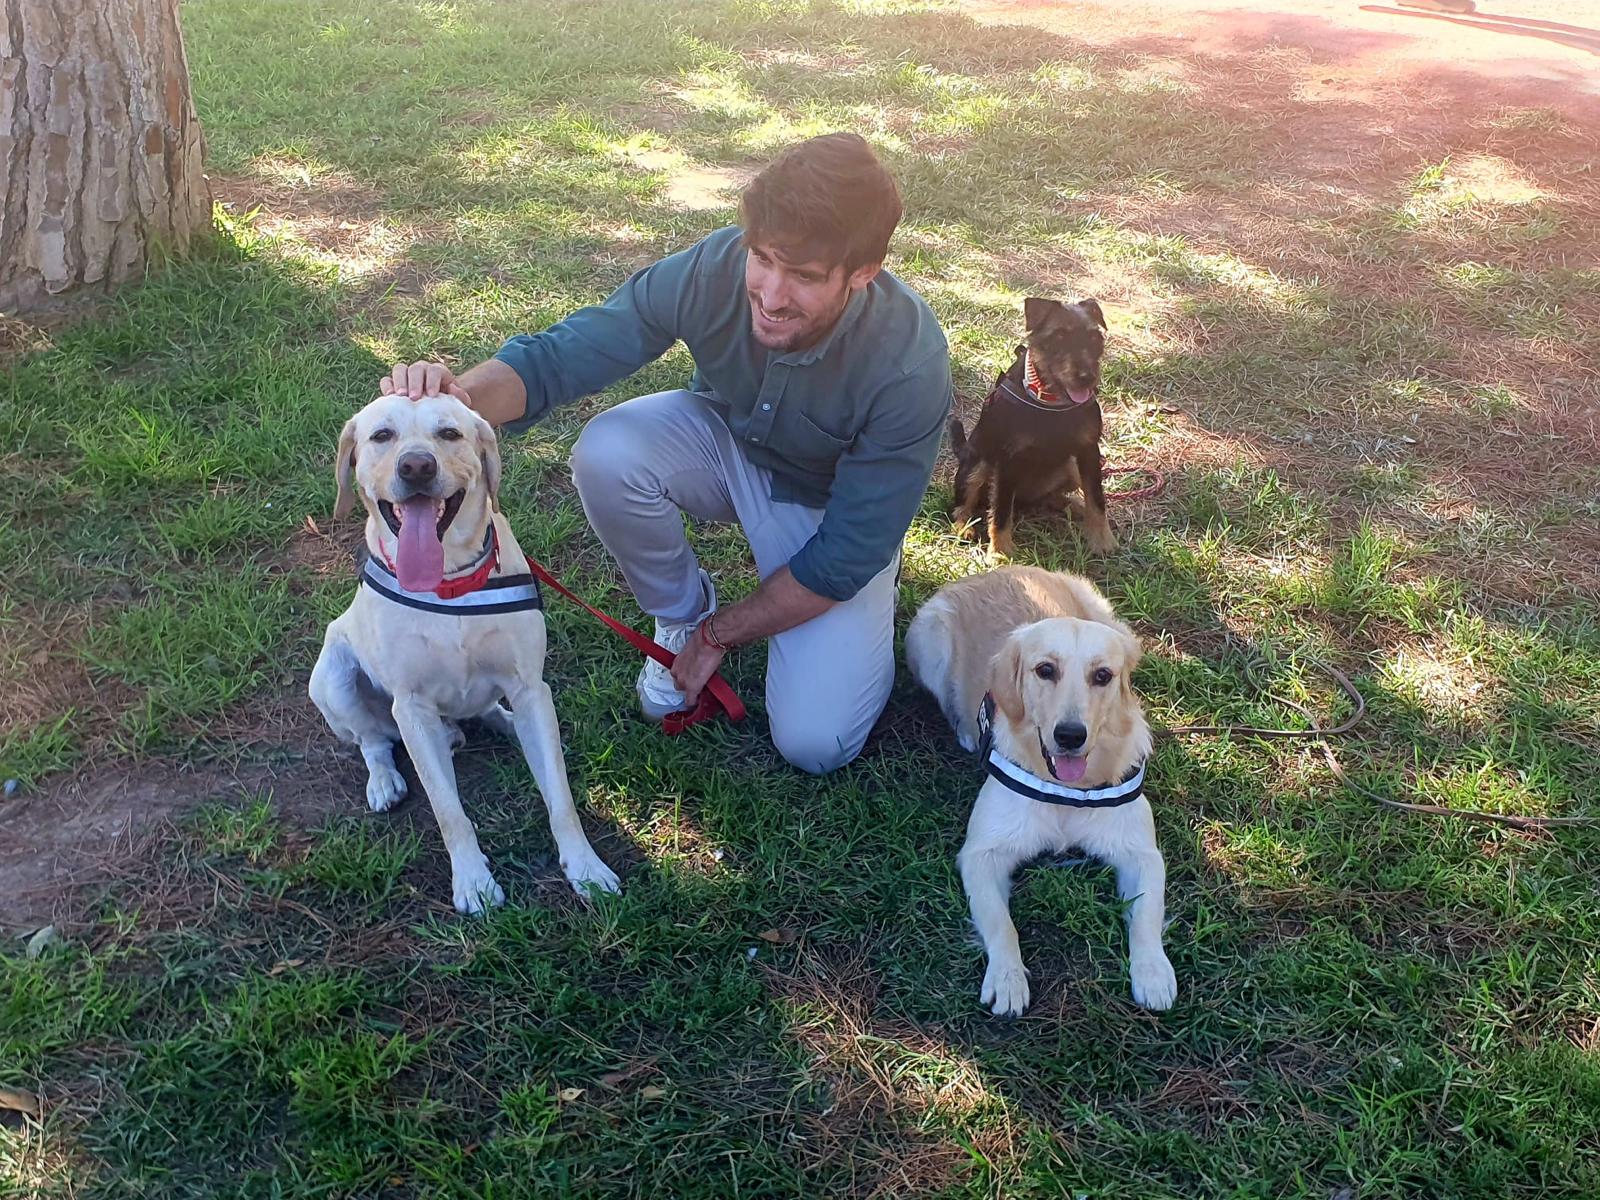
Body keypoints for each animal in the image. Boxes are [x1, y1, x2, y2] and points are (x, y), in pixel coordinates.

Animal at [310, 395, 617, 908]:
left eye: (449, 433)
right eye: (382, 436)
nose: (416, 466)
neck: (448, 582)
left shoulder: (530, 687)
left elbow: (561, 799)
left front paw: (586, 866)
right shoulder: (411, 708)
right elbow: (449, 812)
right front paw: (473, 881)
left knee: (492, 711)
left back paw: (504, 726)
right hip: (332, 677)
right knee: (372, 740)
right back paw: (384, 779)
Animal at [915, 569, 1177, 1017]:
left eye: (1103, 675)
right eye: (1045, 670)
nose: (1070, 735)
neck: (1067, 793)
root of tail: (1002, 569)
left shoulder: (1141, 854)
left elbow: (1146, 916)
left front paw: (1153, 972)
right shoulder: (982, 854)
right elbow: (1003, 926)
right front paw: (1007, 978)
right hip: (929, 642)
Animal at [947, 300, 1113, 563]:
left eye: (1095, 338)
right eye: (1058, 337)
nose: (1087, 377)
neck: (1051, 400)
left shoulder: (1089, 451)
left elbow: (1096, 498)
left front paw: (1101, 540)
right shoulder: (1007, 461)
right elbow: (1001, 510)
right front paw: (1000, 552)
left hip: (1071, 467)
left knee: (1052, 497)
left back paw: (1075, 505)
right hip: (978, 465)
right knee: (962, 506)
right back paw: (965, 528)